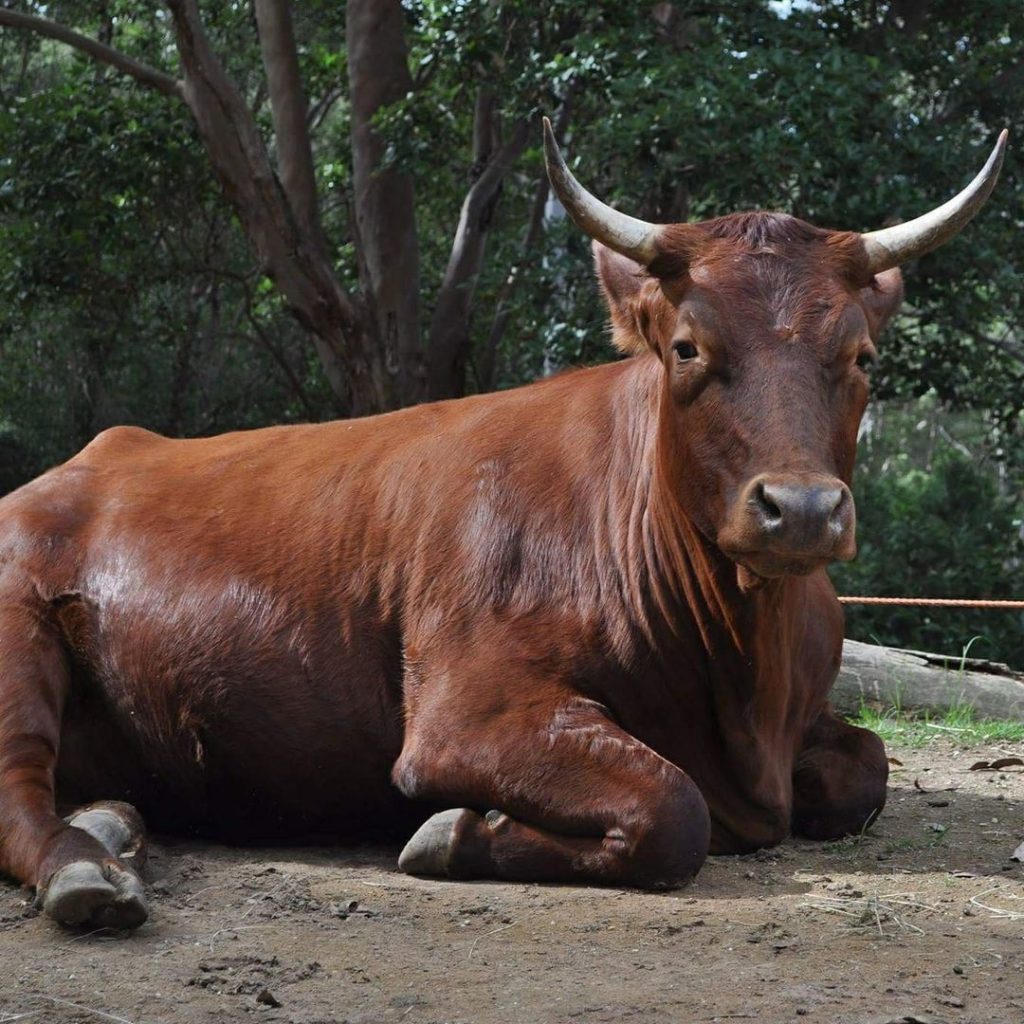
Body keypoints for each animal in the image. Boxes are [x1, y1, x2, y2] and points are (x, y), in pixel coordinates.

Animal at [0, 121, 1007, 929]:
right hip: (19, 633)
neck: (744, 672)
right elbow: (671, 806)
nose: (800, 509)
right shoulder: (465, 714)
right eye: (688, 347)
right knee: (17, 792)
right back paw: (89, 871)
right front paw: (452, 834)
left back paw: (110, 820)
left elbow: (866, 767)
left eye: (862, 355)